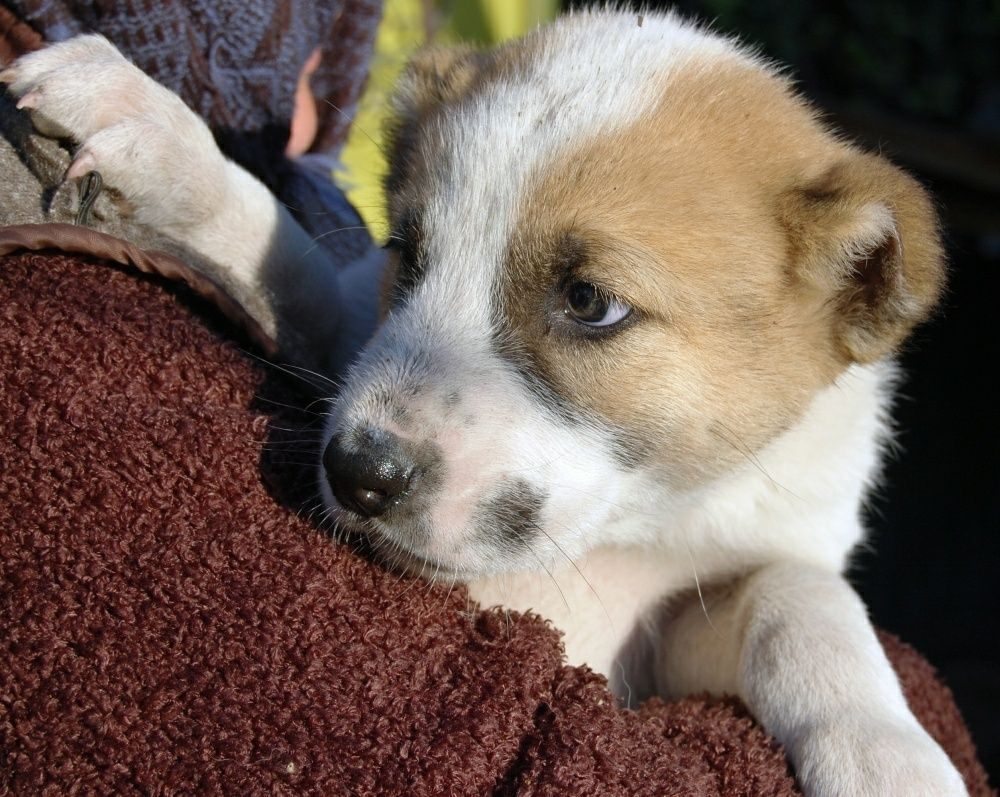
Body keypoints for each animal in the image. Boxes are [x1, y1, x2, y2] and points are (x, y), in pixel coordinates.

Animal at [1, 9, 968, 792]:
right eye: (407, 253)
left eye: (588, 301)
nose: (357, 472)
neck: (612, 537)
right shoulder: (344, 316)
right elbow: (286, 254)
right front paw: (153, 128)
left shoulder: (672, 629)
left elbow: (799, 594)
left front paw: (888, 753)